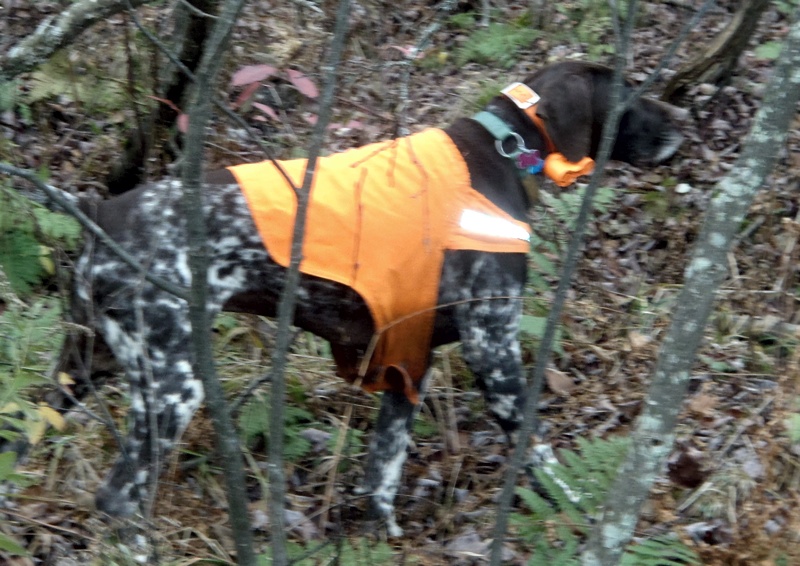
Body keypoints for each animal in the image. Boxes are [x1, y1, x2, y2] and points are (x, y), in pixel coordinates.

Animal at [39, 61, 680, 536]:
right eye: (631, 91)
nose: (684, 116)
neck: (502, 151)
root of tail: (101, 215)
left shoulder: (408, 363)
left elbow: (383, 473)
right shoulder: (492, 347)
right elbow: (536, 449)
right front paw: (580, 510)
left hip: (83, 369)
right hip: (172, 386)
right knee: (119, 497)